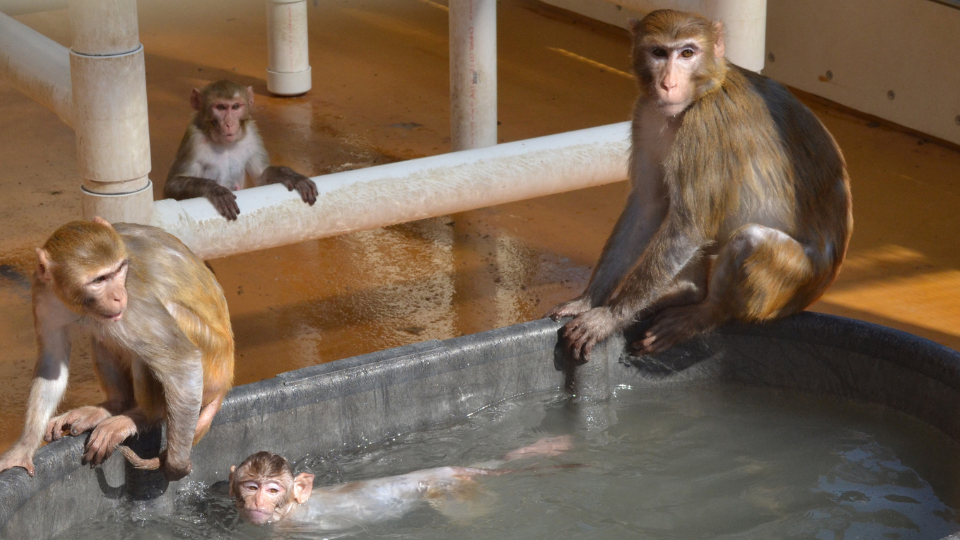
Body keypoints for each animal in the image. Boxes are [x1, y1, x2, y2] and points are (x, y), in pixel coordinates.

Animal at [0, 217, 234, 478]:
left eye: (119, 270)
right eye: (99, 280)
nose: (118, 297)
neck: (77, 303)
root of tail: (227, 377)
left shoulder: (132, 303)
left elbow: (182, 361)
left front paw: (176, 463)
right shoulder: (44, 294)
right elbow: (52, 363)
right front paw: (23, 448)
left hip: (212, 364)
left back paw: (142, 416)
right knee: (102, 332)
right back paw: (114, 405)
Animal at [163, 77, 316, 219]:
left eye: (235, 107)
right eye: (221, 108)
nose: (230, 124)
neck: (224, 144)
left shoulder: (252, 134)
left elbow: (261, 175)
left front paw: (291, 176)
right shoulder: (194, 140)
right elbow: (171, 186)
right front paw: (216, 190)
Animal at [231, 436, 576, 528]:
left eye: (272, 490)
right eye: (251, 487)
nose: (257, 501)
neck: (291, 510)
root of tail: (448, 470)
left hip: (448, 488)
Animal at [548, 8, 856, 360]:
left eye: (687, 53)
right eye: (659, 53)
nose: (668, 83)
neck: (703, 90)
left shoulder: (704, 126)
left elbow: (688, 228)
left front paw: (608, 318)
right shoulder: (646, 114)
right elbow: (649, 205)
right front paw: (589, 300)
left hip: (793, 283)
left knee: (748, 239)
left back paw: (703, 312)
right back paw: (688, 294)